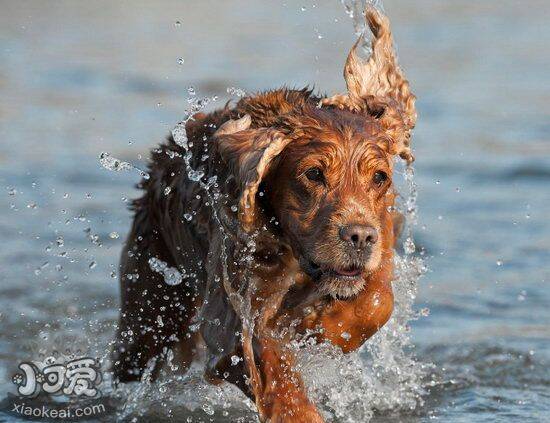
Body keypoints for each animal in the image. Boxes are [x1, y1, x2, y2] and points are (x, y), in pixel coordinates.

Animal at [113, 7, 418, 423]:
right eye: (314, 174)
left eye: (380, 177)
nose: (358, 237)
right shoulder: (230, 308)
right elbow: (269, 359)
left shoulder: (381, 238)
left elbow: (377, 301)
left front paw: (326, 328)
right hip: (150, 298)